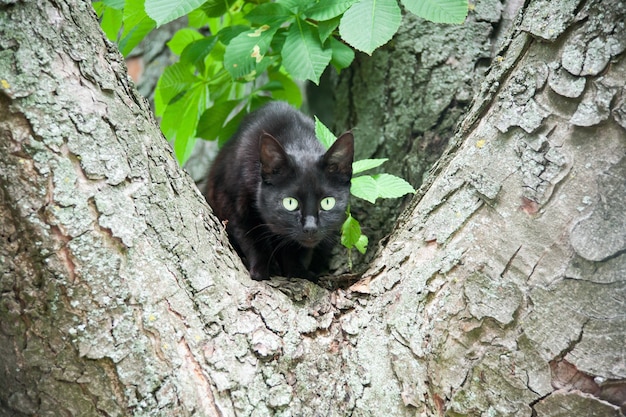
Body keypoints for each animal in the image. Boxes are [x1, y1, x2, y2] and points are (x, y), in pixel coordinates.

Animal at [204, 101, 352, 280]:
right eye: (290, 202)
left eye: (327, 202)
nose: (311, 228)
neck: (298, 141)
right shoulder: (230, 203)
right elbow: (252, 238)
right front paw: (262, 270)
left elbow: (295, 248)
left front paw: (298, 272)